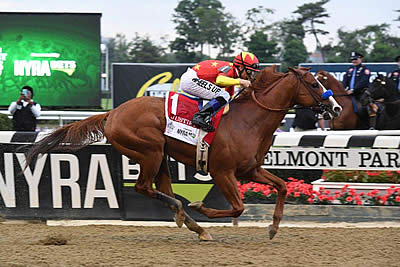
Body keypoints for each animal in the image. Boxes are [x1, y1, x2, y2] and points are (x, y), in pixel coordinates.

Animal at [25, 66, 340, 241]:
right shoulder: (222, 171)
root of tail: (112, 112)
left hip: (160, 155)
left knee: (159, 188)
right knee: (144, 187)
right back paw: (184, 212)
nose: (335, 108)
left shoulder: (250, 169)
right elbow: (238, 207)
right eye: (315, 84)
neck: (247, 121)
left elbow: (283, 186)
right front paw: (201, 206)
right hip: (149, 151)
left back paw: (192, 224)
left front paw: (273, 228)